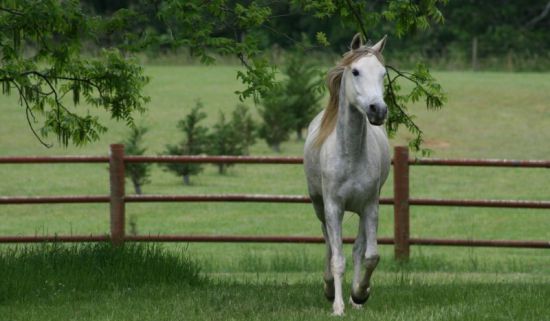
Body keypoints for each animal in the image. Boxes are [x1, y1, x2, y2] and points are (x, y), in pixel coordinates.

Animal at [306, 33, 392, 314]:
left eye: (383, 73)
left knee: (357, 250)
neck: (351, 155)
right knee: (328, 245)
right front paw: (337, 306)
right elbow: (337, 258)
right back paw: (328, 288)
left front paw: (360, 294)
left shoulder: (370, 207)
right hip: (319, 206)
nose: (378, 110)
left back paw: (355, 299)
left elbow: (369, 255)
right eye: (355, 71)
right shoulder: (334, 208)